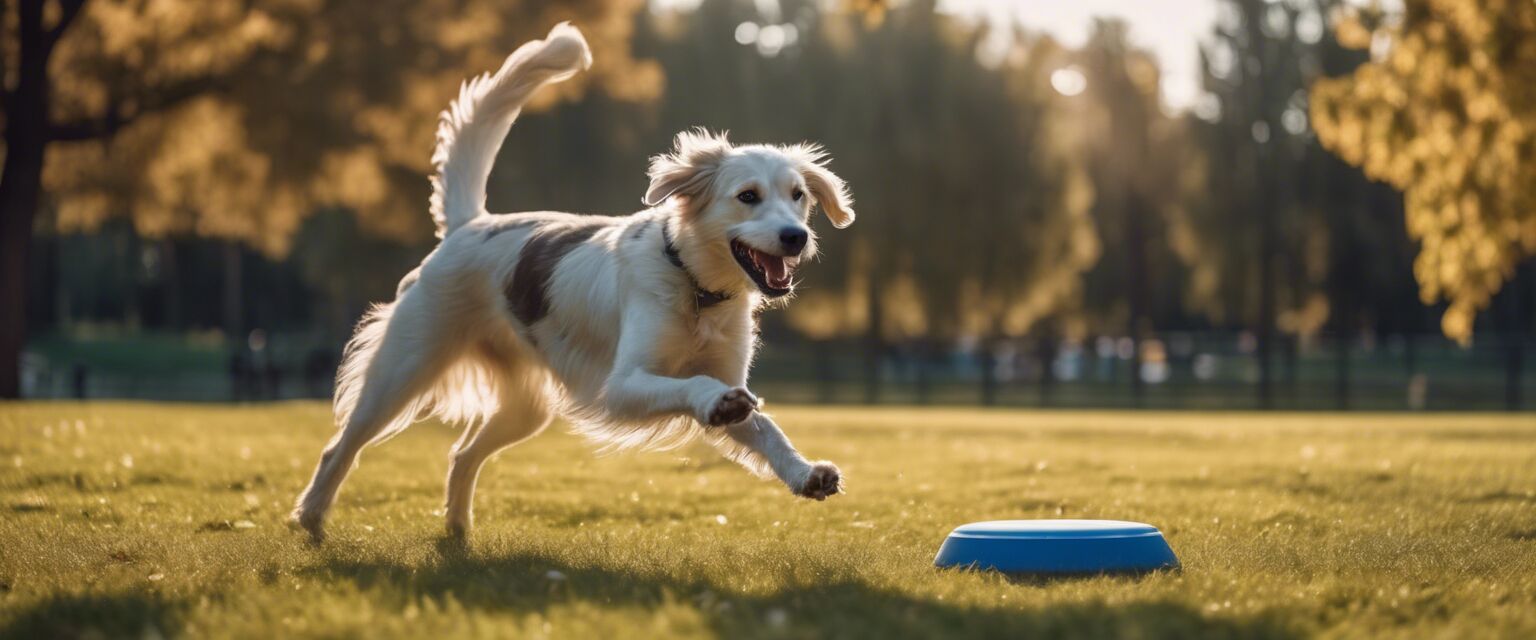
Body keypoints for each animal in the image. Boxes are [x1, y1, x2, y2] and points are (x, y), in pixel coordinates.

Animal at [290, 22, 854, 540]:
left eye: (799, 196)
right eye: (748, 196)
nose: (796, 237)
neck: (693, 285)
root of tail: (470, 224)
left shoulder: (728, 375)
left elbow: (767, 428)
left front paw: (805, 473)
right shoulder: (621, 385)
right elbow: (697, 386)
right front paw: (716, 403)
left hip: (525, 408)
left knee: (461, 454)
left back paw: (457, 532)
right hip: (402, 372)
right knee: (339, 448)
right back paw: (312, 520)